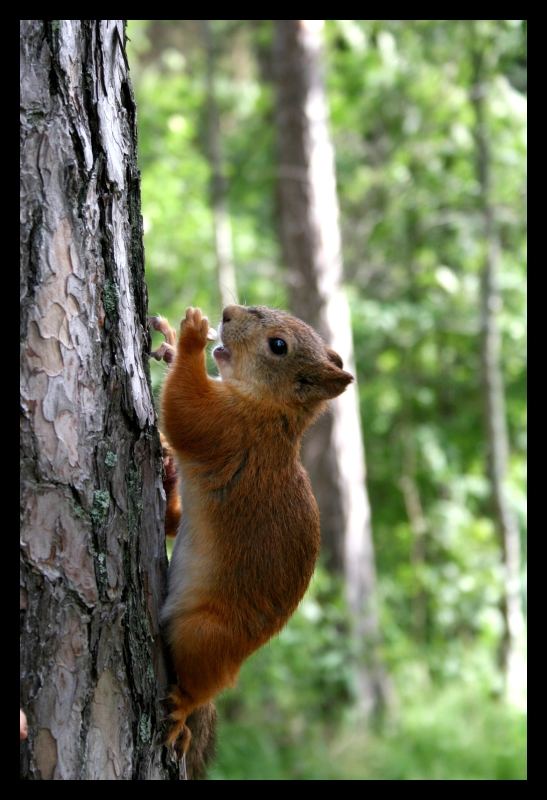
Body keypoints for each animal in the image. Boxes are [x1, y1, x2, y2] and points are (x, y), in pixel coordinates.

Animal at [152, 306, 354, 764]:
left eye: (278, 345)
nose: (227, 313)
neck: (270, 410)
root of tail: (236, 661)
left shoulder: (228, 431)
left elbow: (183, 411)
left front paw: (191, 335)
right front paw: (171, 342)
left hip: (202, 634)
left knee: (201, 683)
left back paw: (184, 708)